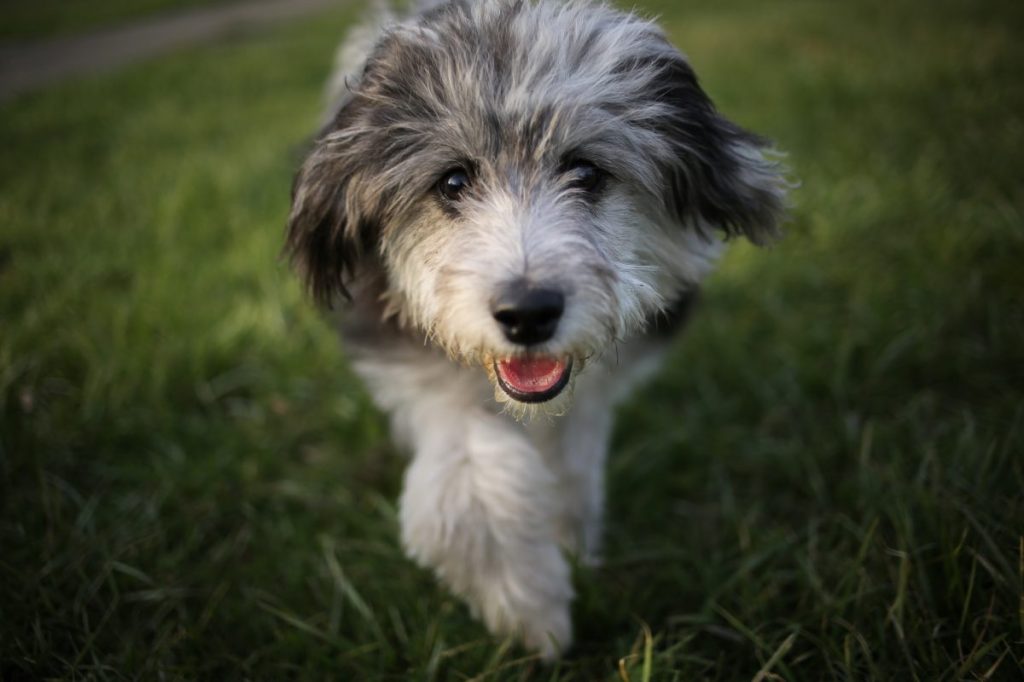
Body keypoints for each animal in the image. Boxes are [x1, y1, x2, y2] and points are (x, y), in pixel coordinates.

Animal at [284, 0, 786, 659]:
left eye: (587, 172)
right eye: (452, 181)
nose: (528, 313)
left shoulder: (591, 398)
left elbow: (571, 467)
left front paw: (570, 548)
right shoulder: (428, 384)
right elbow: (473, 489)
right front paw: (529, 605)